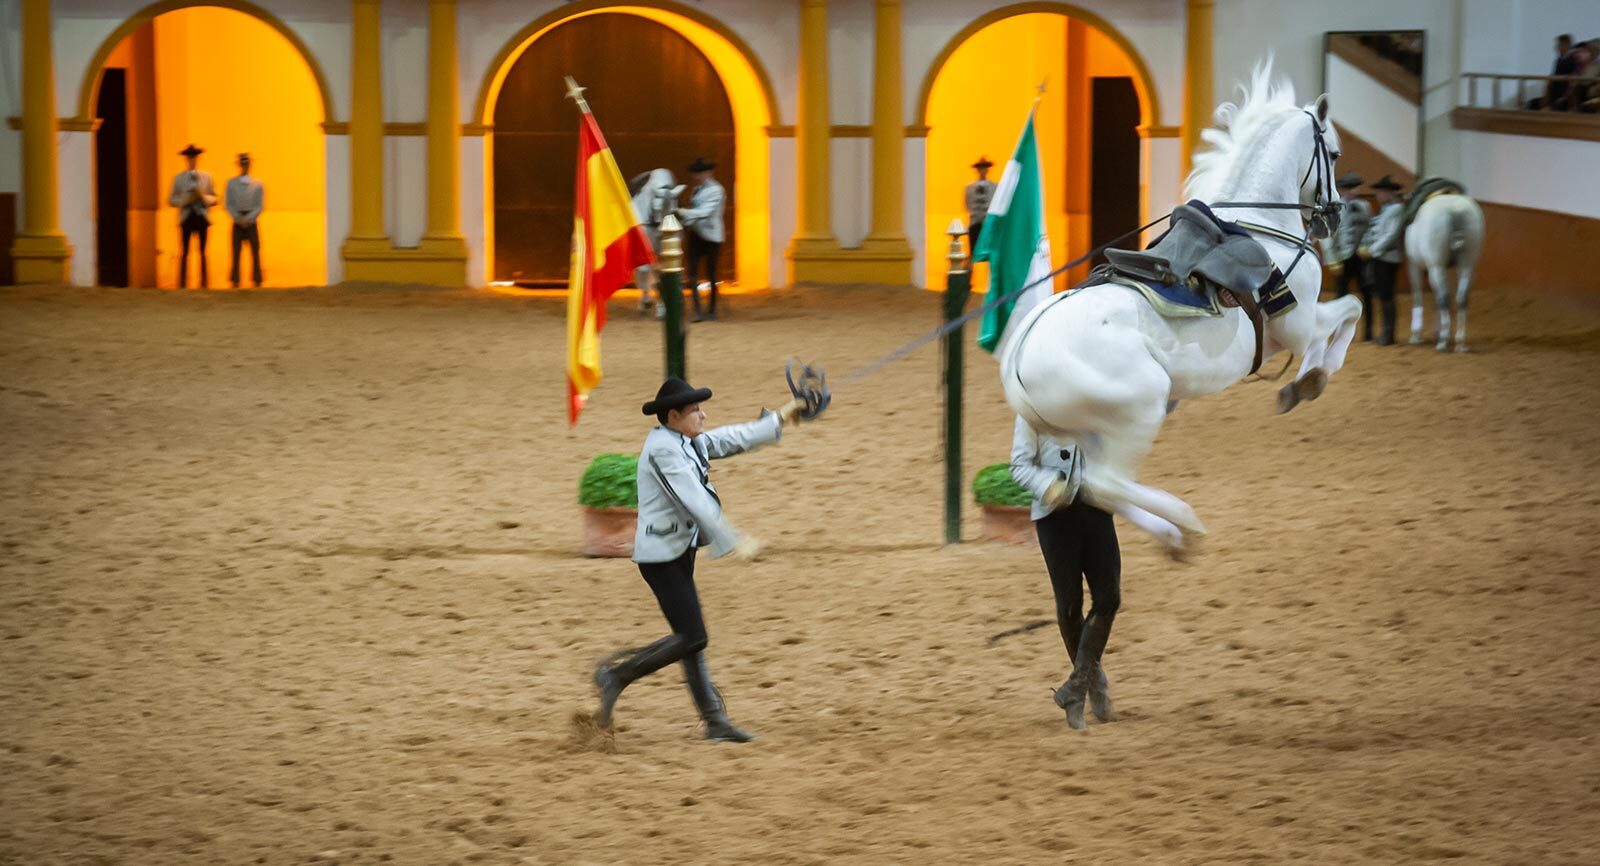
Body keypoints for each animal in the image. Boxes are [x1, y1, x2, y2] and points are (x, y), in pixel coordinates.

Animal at [628, 169, 685, 315]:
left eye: (673, 211)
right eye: (658, 209)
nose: (663, 235)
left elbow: (661, 274)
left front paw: (662, 308)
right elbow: (644, 271)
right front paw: (646, 303)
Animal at [998, 63, 1364, 552]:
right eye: (1336, 154)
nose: (1334, 214)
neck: (1261, 226)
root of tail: (1019, 360)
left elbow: (1346, 314)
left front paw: (1301, 384)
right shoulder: (1301, 323)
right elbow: (1348, 313)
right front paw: (1311, 380)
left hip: (1092, 430)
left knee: (1094, 486)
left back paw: (1172, 534)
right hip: (1140, 409)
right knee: (1107, 484)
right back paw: (1182, 522)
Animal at [1404, 193, 1485, 352]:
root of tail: (1455, 209)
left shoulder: (1414, 265)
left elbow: (1418, 295)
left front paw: (1416, 336)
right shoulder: (1451, 270)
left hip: (1436, 267)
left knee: (1444, 298)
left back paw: (1443, 340)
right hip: (1466, 266)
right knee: (1461, 298)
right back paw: (1459, 342)